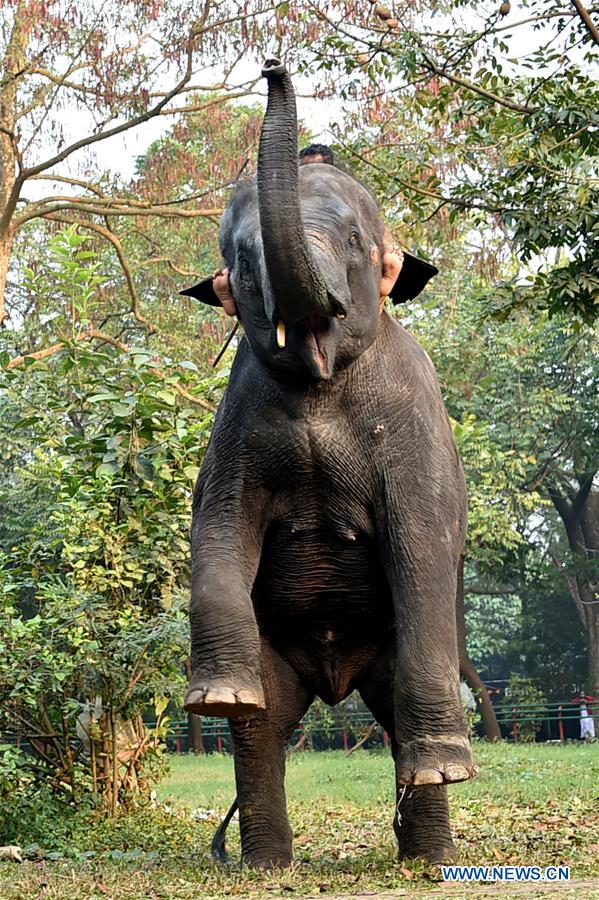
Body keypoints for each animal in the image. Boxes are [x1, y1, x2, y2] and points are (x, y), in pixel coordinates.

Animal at [183, 58, 478, 872]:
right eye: (239, 260)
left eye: (353, 239)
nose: (272, 64)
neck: (320, 381)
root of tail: (335, 682)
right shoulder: (237, 422)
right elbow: (219, 520)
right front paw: (214, 696)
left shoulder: (415, 422)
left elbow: (421, 543)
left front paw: (445, 772)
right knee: (261, 729)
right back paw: (265, 862)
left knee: (396, 703)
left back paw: (429, 849)